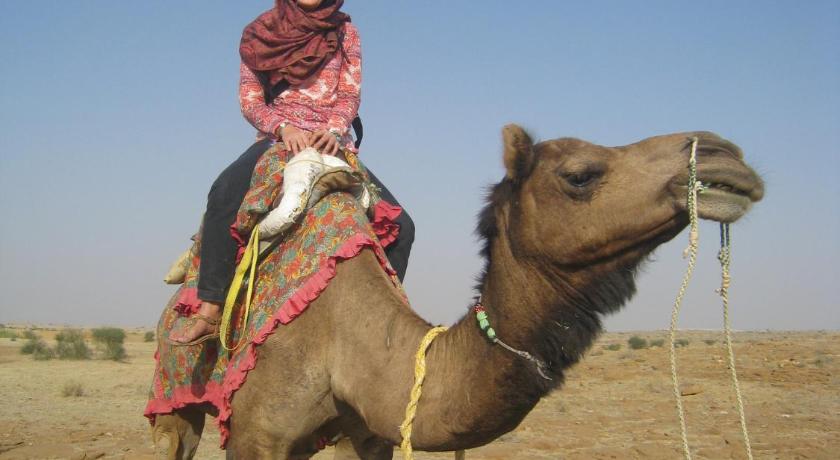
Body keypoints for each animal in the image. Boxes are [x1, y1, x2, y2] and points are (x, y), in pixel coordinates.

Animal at [151, 124, 760, 458]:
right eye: (581, 175)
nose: (726, 156)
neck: (343, 342)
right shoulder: (255, 434)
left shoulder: (368, 434)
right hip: (175, 404)